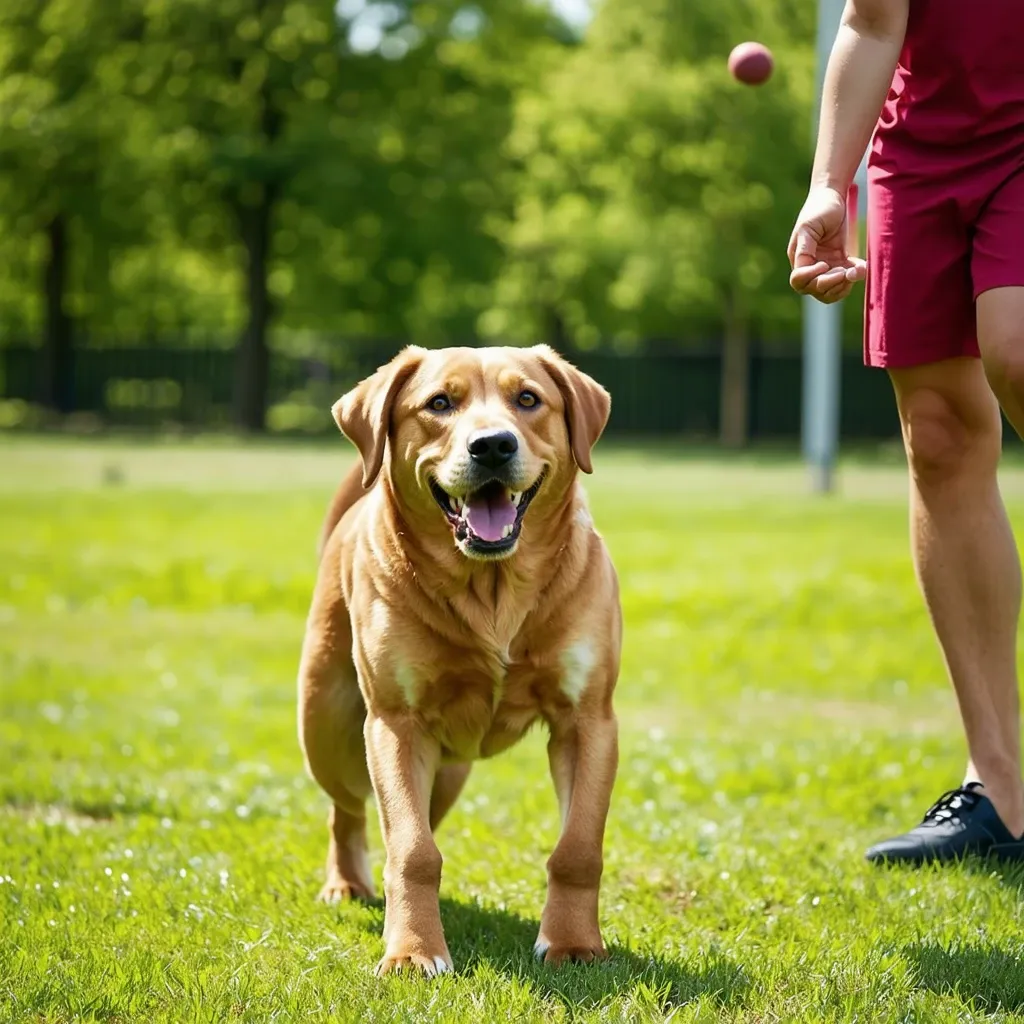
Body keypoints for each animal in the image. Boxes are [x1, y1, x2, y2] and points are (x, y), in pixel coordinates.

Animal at [299, 344, 622, 974]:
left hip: (449, 772)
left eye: (528, 398)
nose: (492, 444)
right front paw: (413, 952)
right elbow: (411, 848)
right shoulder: (396, 724)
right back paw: (347, 882)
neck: (492, 591)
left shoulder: (589, 719)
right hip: (325, 725)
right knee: (347, 808)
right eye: (439, 403)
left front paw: (572, 942)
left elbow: (578, 848)